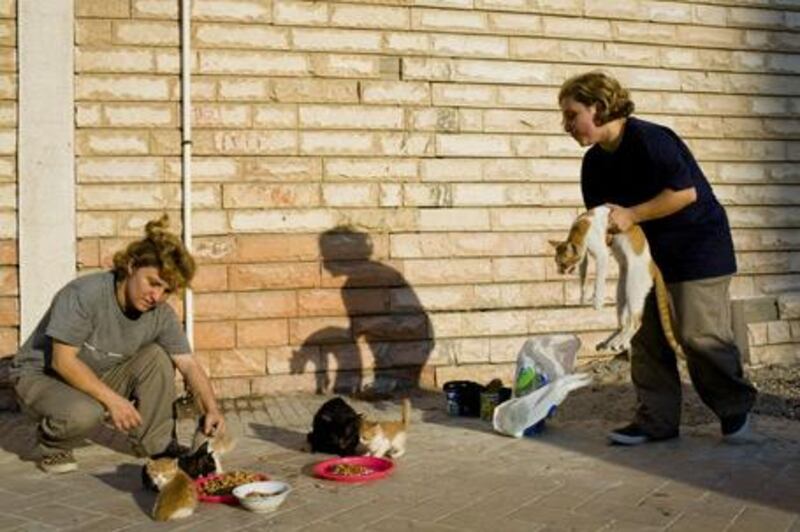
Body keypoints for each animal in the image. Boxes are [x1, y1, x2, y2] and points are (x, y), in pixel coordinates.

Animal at [552, 206, 688, 360]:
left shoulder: (602, 255)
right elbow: (583, 277)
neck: (580, 227)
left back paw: (620, 342)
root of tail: (654, 265)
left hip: (633, 289)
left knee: (636, 322)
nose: (559, 272)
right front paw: (583, 296)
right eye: (556, 263)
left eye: (562, 264)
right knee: (623, 324)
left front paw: (597, 302)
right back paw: (612, 342)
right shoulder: (584, 259)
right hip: (621, 292)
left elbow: (599, 281)